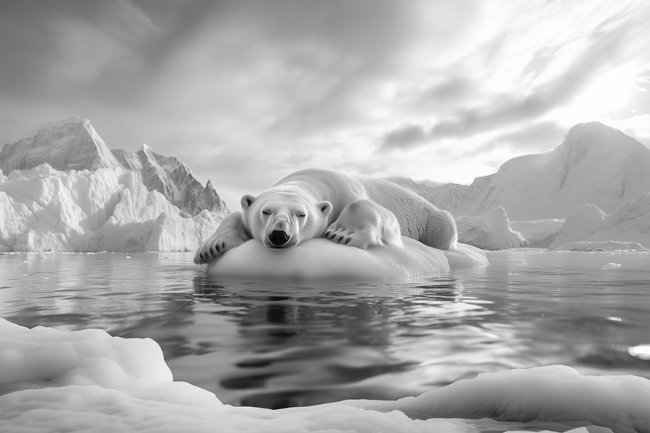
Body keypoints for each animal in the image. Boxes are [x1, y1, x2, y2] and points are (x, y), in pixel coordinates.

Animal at [194, 168, 457, 264]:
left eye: (301, 214)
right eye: (265, 211)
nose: (279, 235)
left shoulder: (345, 190)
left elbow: (378, 212)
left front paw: (342, 234)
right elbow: (234, 217)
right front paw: (212, 246)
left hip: (433, 218)